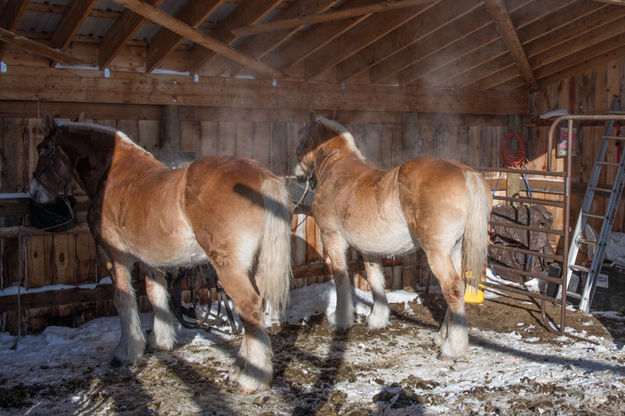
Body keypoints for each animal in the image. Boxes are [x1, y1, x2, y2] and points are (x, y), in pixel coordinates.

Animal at [29, 118, 292, 394]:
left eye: (40, 149)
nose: (34, 192)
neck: (113, 175)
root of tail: (263, 175)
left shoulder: (114, 257)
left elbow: (123, 299)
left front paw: (128, 350)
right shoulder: (150, 262)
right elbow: (157, 296)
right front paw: (162, 341)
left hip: (230, 267)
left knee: (249, 307)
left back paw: (253, 378)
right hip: (253, 266)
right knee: (254, 310)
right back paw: (240, 366)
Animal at [294, 117, 490, 358]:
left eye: (301, 139)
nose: (297, 174)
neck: (338, 169)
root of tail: (465, 172)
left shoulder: (333, 239)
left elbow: (341, 279)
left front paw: (341, 319)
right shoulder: (369, 250)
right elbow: (376, 281)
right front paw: (376, 320)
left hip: (437, 252)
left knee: (452, 288)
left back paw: (453, 347)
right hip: (454, 248)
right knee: (458, 287)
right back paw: (441, 338)